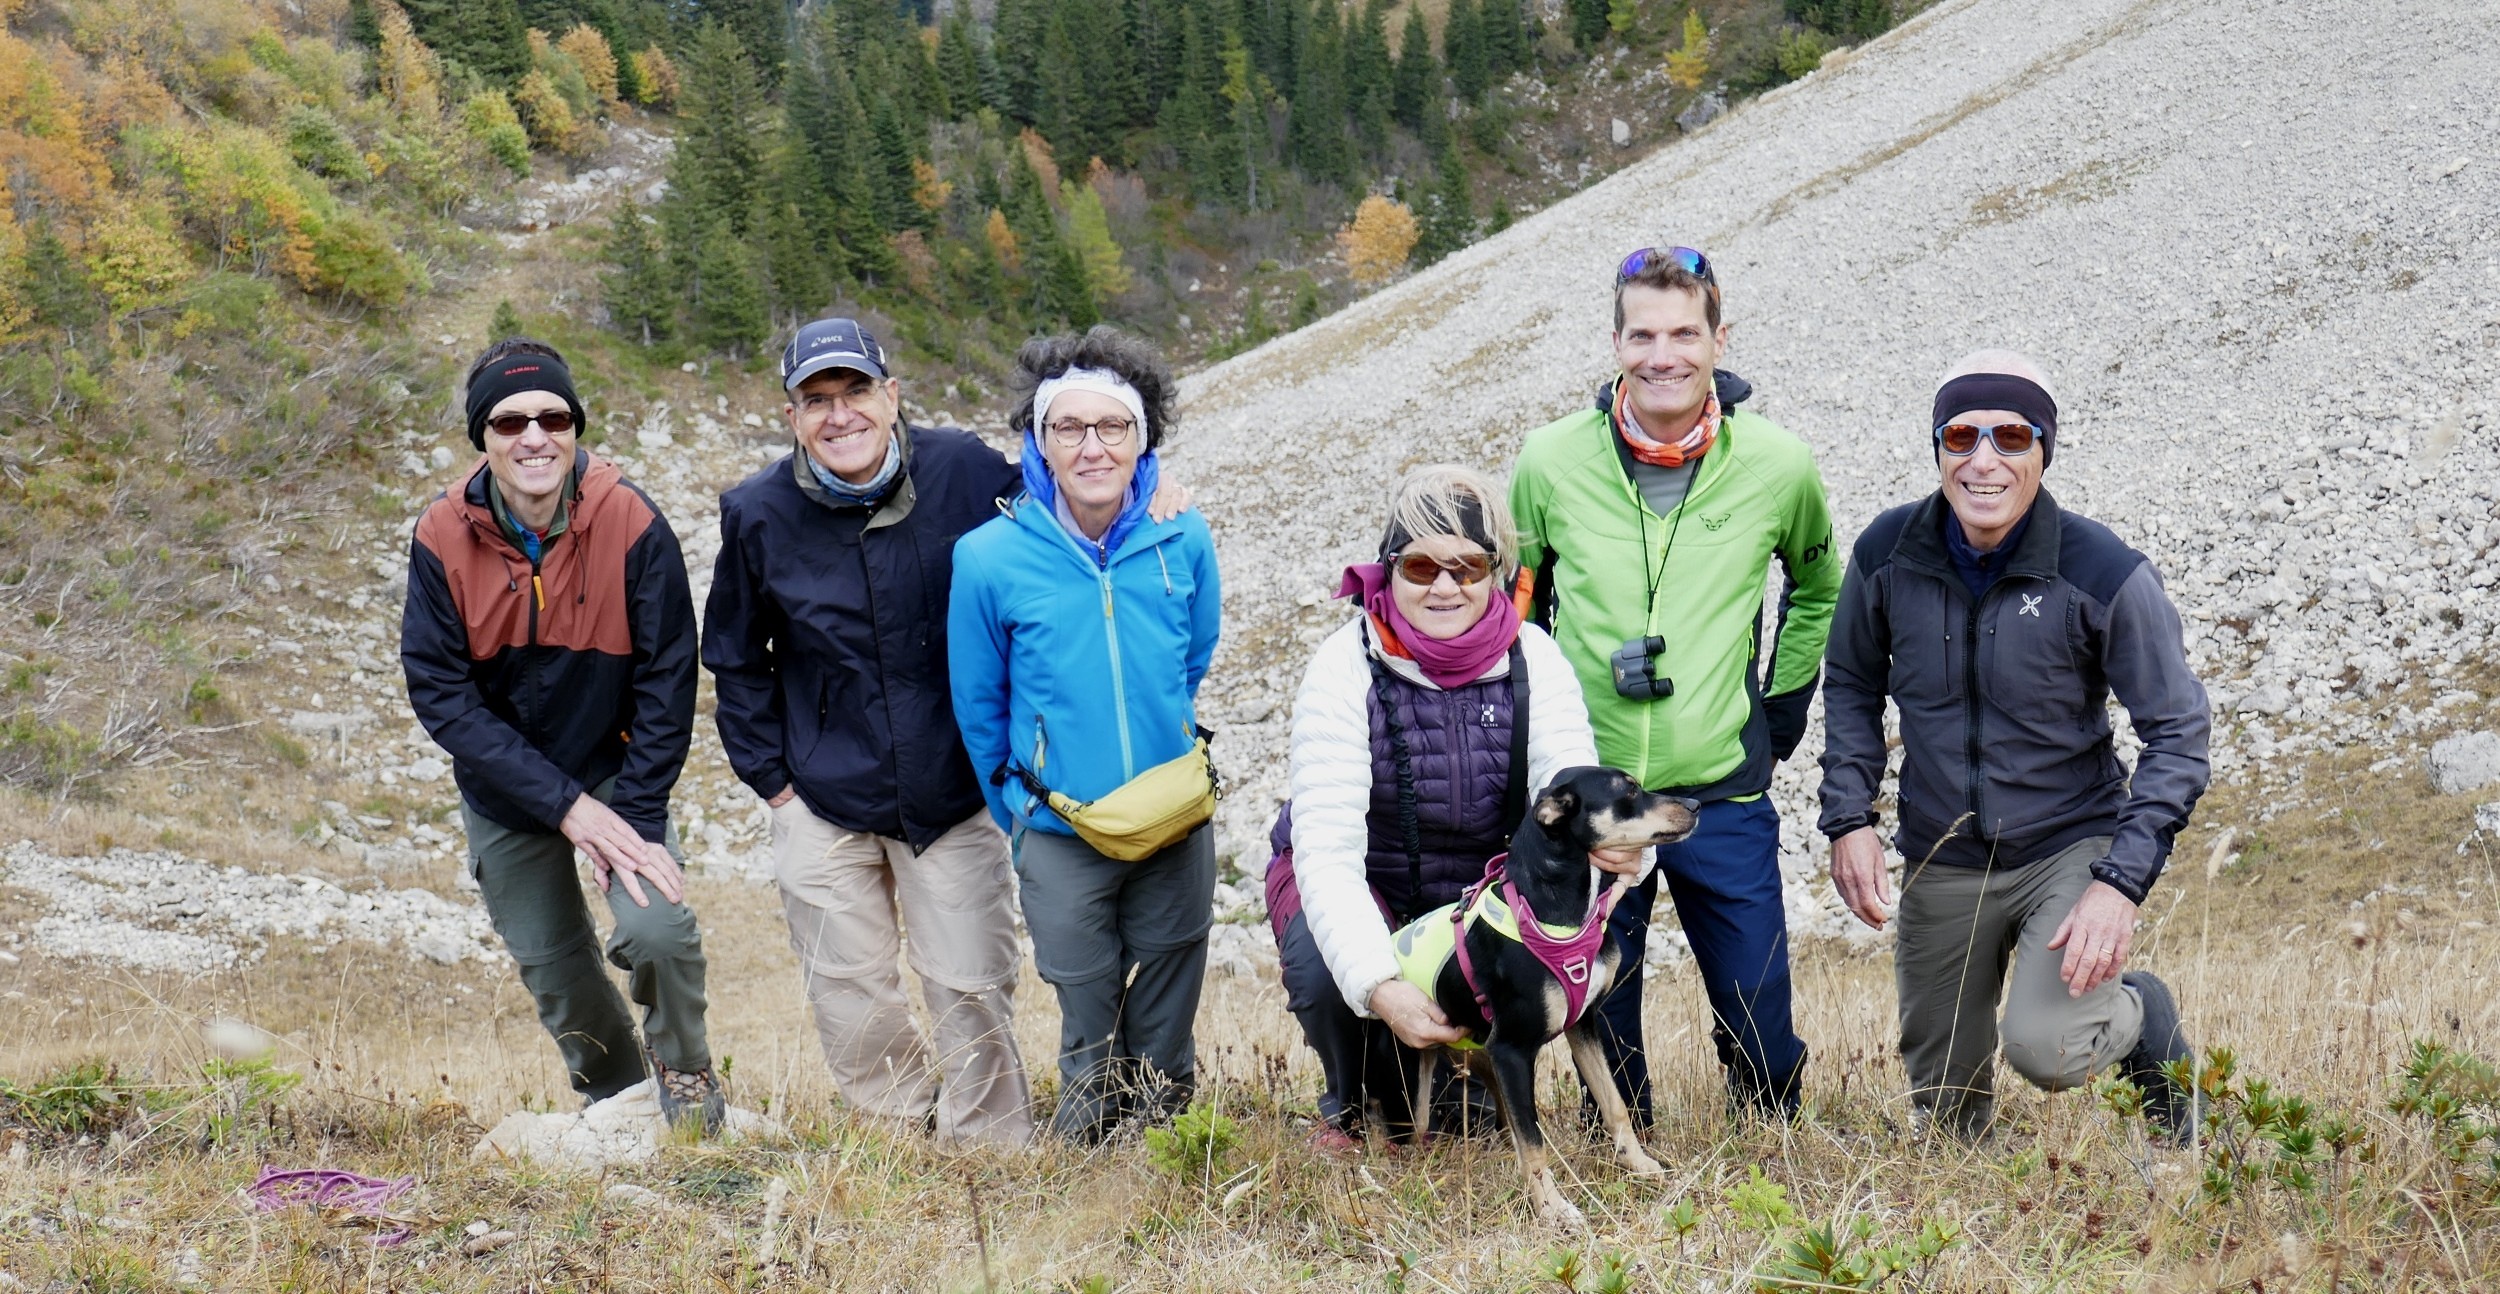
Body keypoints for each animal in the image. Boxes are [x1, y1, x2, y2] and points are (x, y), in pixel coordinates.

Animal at [1390, 764, 1700, 1234]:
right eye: (1629, 790)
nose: (1696, 804)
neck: (1556, 912)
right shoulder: (1513, 1049)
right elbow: (1534, 1143)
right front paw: (1553, 1210)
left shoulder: (1582, 1027)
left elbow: (1615, 1106)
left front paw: (1640, 1165)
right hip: (1423, 1062)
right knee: (1421, 1120)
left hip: (1480, 1050)